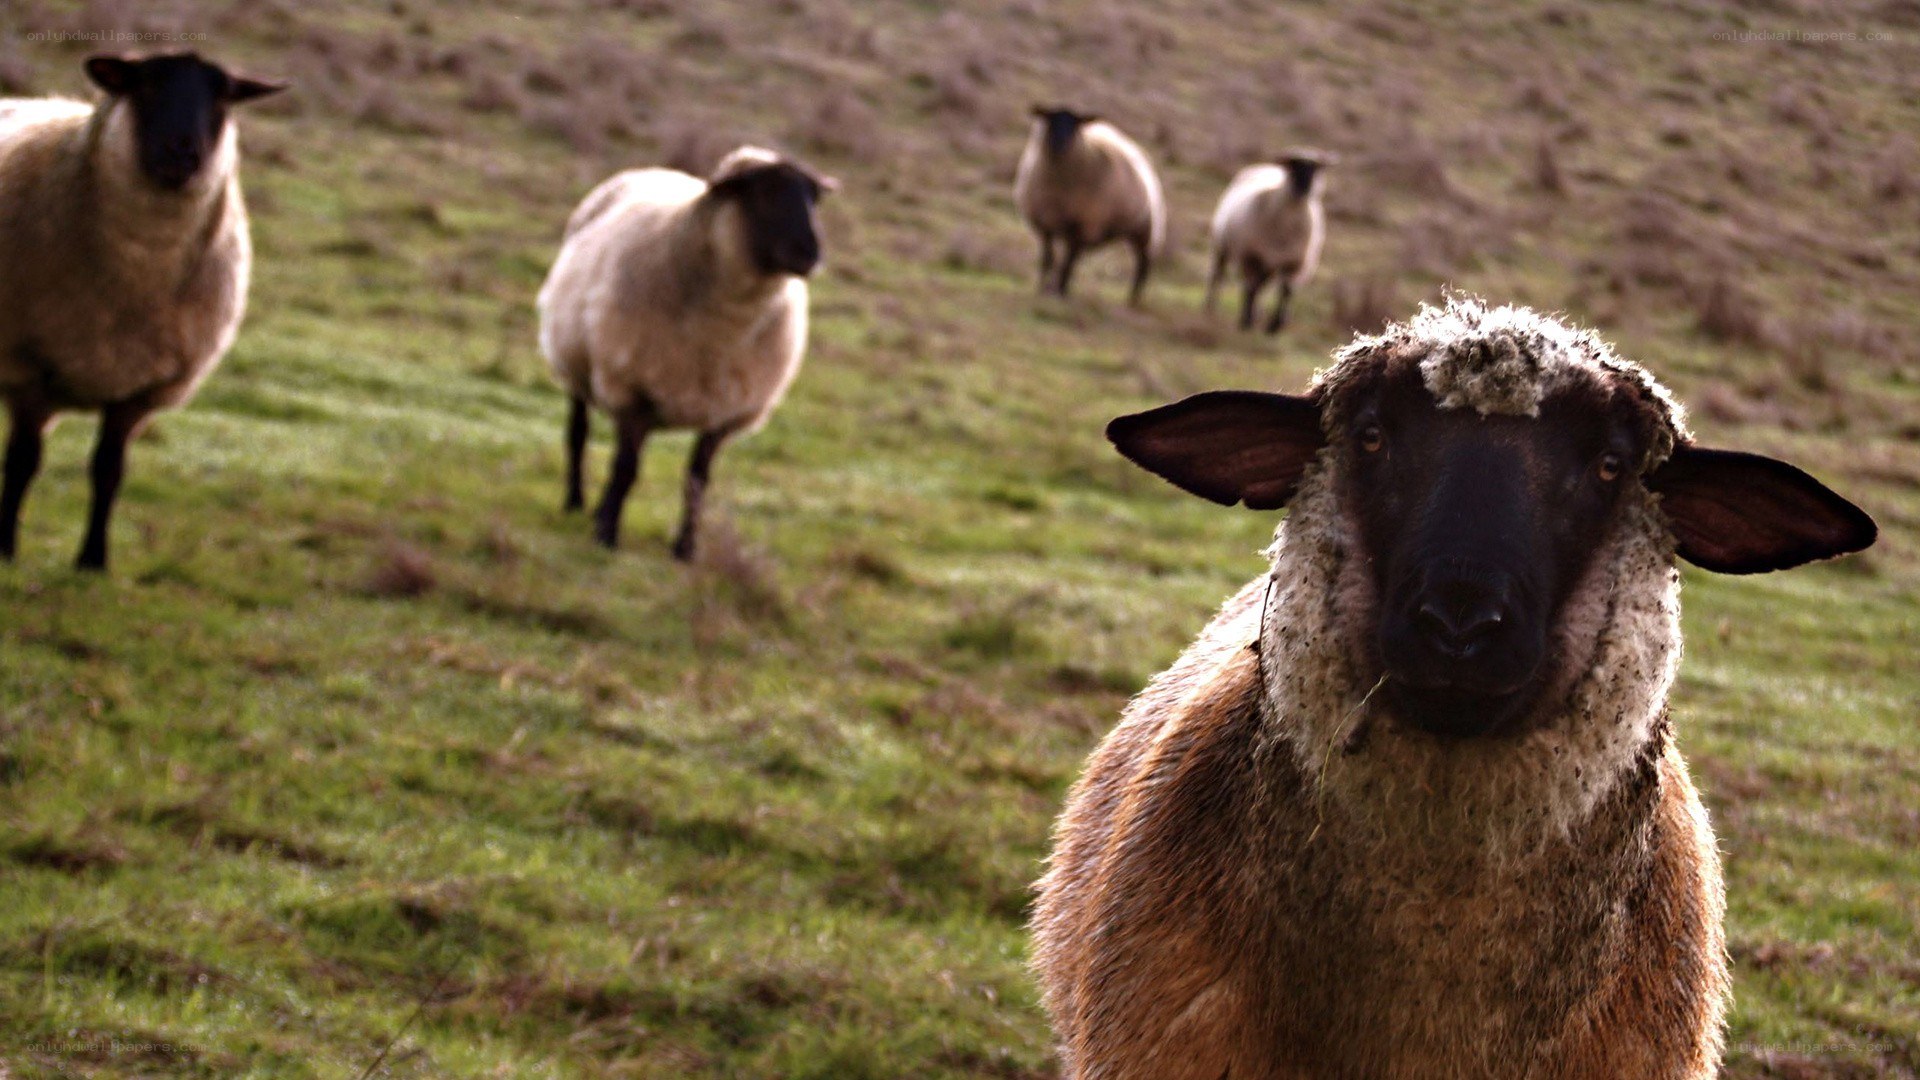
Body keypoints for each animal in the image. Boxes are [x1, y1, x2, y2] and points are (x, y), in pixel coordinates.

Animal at [0, 52, 282, 571]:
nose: (182, 154)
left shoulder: (140, 390)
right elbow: (23, 462)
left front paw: (93, 560)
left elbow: (109, 470)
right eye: (144, 86)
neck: (139, 272)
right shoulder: (28, 367)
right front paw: (5, 549)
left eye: (223, 97)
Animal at [537, 145, 834, 560]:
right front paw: (607, 535)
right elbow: (626, 468)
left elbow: (697, 480)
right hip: (576, 364)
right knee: (578, 433)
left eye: (813, 198)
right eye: (763, 191)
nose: (811, 253)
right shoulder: (633, 389)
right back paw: (576, 501)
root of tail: (652, 168)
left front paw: (685, 549)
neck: (724, 326)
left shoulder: (724, 408)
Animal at [1014, 106, 1165, 307]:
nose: (1059, 144)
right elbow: (1048, 259)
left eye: (1075, 123)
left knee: (1143, 265)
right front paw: (1042, 288)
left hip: (1144, 231)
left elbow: (1067, 262)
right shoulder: (1045, 223)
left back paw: (1133, 300)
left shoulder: (1082, 225)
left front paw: (1059, 291)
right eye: (1050, 119)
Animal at [1204, 152, 1328, 334]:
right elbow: (1251, 288)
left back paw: (1258, 314)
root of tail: (1266, 166)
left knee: (1262, 287)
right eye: (1293, 166)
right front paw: (1246, 321)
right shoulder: (1250, 256)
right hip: (1222, 246)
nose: (1305, 188)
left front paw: (1275, 325)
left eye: (1315, 169)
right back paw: (1209, 307)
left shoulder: (1295, 262)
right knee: (1218, 276)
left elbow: (1286, 291)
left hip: (1268, 265)